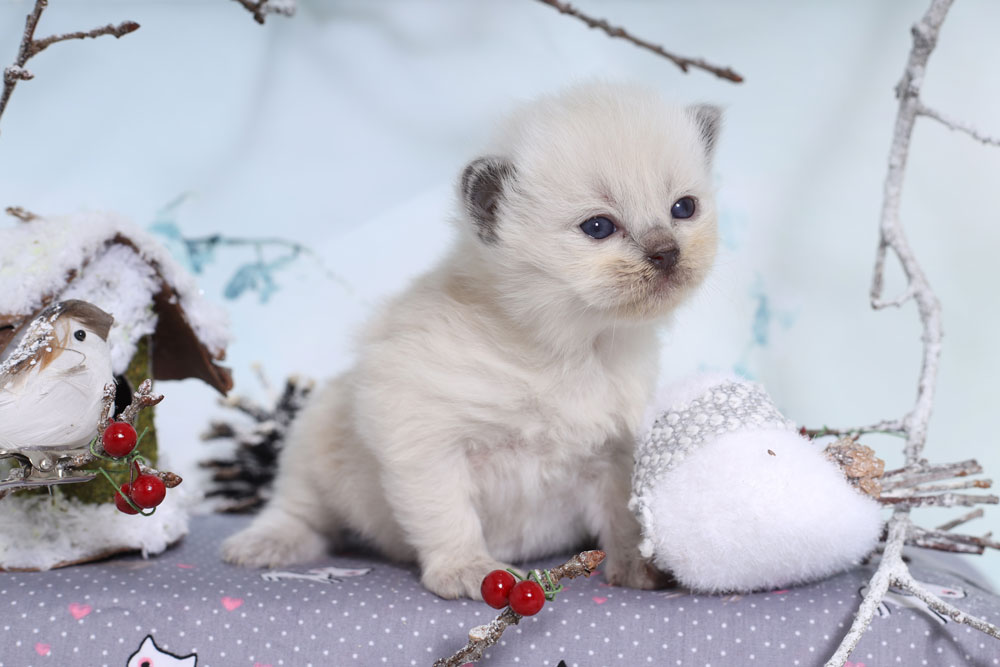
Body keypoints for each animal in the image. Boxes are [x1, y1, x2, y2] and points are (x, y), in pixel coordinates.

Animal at [221, 82, 720, 600]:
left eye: (683, 208)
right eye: (598, 227)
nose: (667, 253)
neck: (571, 348)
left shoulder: (616, 452)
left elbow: (623, 517)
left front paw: (637, 567)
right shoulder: (420, 435)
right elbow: (447, 513)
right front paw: (468, 570)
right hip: (314, 441)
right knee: (299, 510)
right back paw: (263, 544)